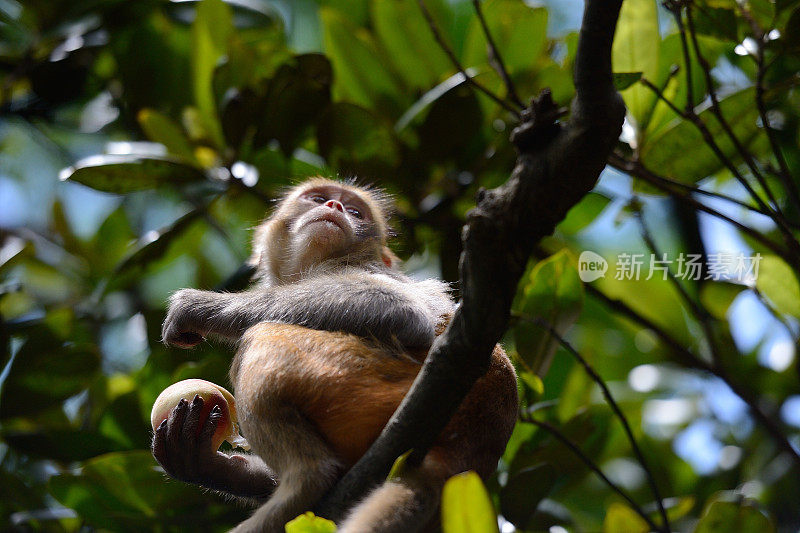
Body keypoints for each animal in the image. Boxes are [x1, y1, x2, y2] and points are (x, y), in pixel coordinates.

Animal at [153, 177, 520, 528]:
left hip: (364, 379)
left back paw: (305, 481)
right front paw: (200, 463)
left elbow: (403, 311)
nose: (335, 205)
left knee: (262, 335)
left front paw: (200, 307)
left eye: (356, 212)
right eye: (317, 198)